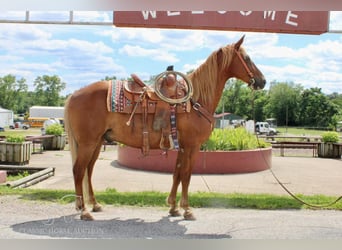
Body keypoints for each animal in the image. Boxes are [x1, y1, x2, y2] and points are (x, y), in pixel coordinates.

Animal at [65, 35, 268, 221]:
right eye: (247, 58)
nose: (263, 81)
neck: (195, 100)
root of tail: (74, 95)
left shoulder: (182, 146)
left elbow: (177, 174)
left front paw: (173, 207)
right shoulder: (192, 146)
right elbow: (186, 175)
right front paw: (187, 209)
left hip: (97, 143)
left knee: (88, 171)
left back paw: (95, 204)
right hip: (88, 143)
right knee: (78, 171)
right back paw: (83, 210)